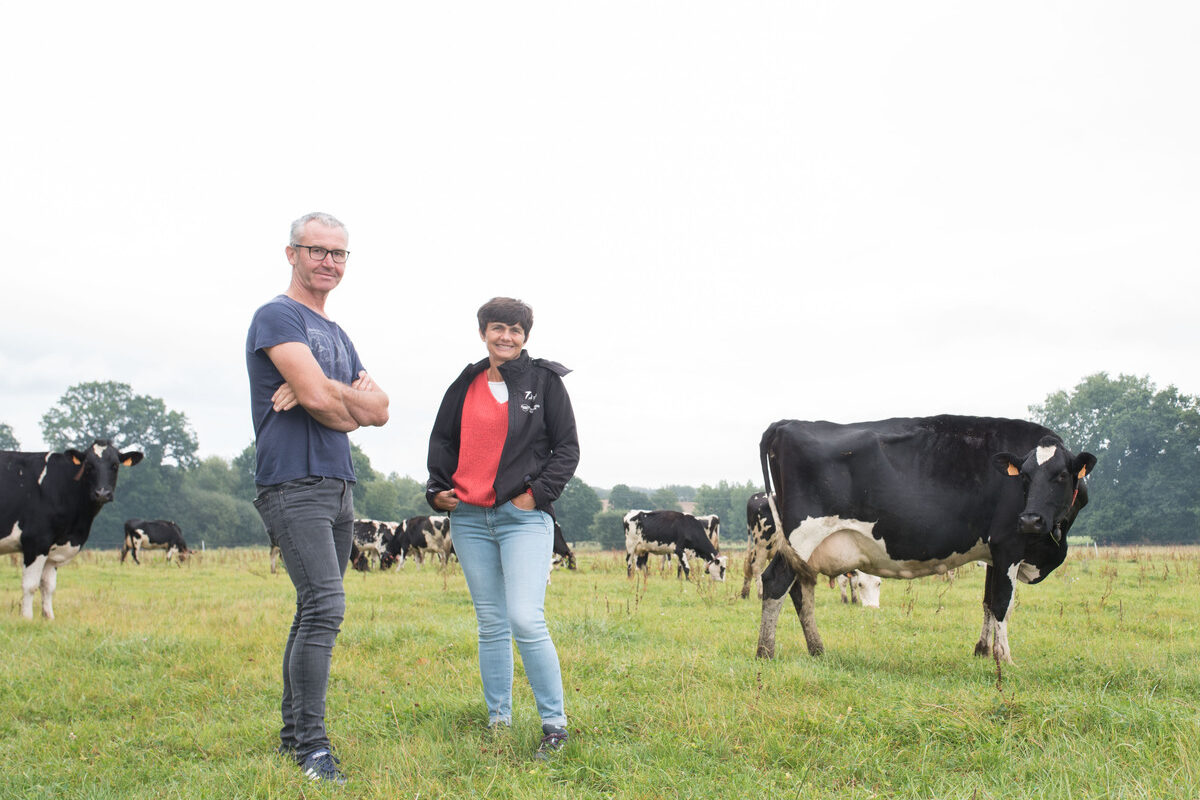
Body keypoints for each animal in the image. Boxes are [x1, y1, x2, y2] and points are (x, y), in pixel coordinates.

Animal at [0, 443, 143, 618]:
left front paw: (49, 617)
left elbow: (48, 586)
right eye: (88, 465)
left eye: (115, 465)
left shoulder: (54, 548)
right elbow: (30, 585)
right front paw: (26, 618)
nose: (102, 493)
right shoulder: (36, 542)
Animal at [758, 417, 1099, 666]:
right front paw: (1005, 659)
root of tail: (786, 423)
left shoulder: (993, 553)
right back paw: (766, 652)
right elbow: (1004, 603)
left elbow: (988, 602)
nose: (1030, 520)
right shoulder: (1009, 544)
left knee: (801, 590)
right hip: (803, 534)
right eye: (1024, 476)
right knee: (775, 581)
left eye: (1061, 475)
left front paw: (982, 650)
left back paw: (817, 649)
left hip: (806, 549)